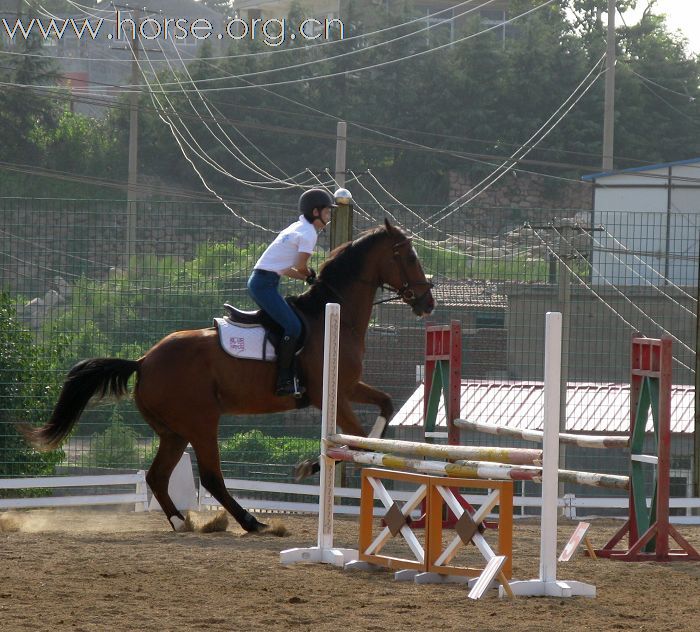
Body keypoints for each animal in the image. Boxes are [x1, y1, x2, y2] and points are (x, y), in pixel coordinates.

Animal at [20, 220, 432, 532]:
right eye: (409, 256)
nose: (428, 303)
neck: (335, 316)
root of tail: (143, 360)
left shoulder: (348, 387)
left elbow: (384, 406)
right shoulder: (325, 393)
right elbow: (356, 440)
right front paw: (310, 466)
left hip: (174, 431)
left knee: (158, 476)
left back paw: (181, 521)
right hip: (201, 422)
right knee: (211, 477)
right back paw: (250, 522)